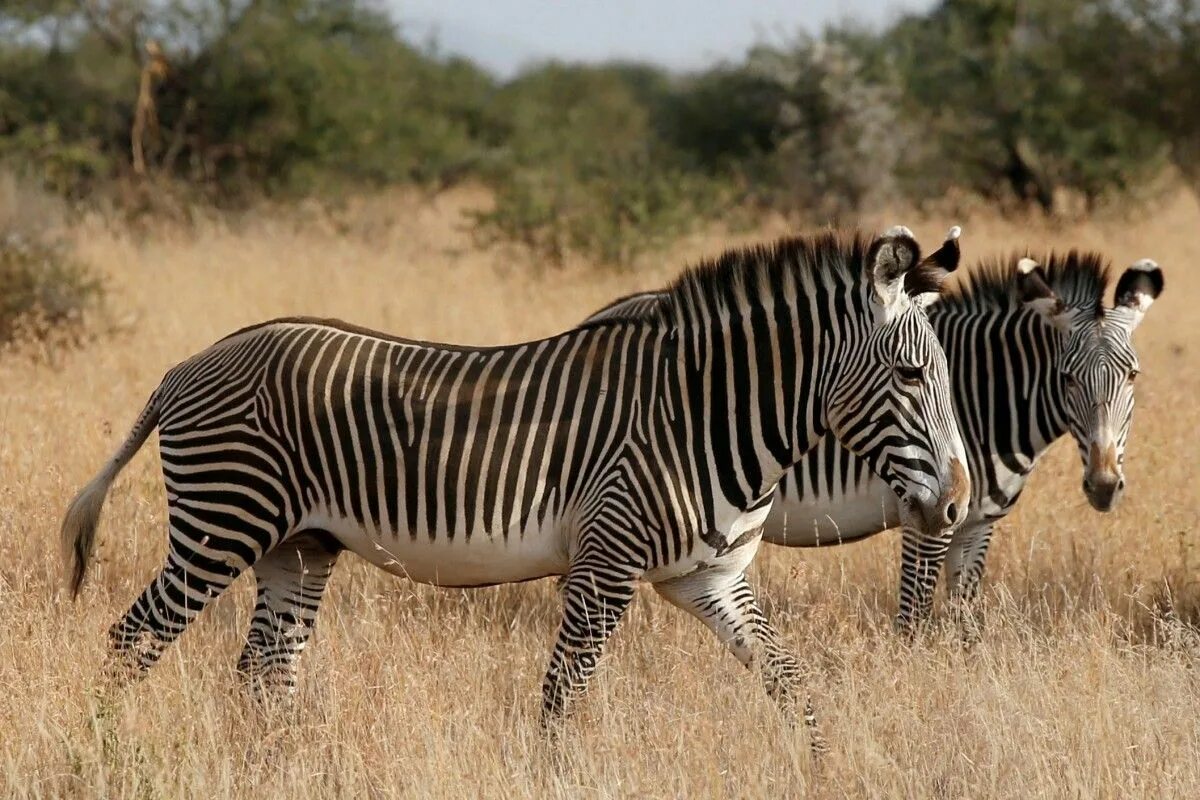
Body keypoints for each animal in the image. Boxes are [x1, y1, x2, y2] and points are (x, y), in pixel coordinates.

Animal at [60, 224, 969, 738]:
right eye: (911, 376)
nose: (960, 502)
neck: (701, 415)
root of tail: (186, 366)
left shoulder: (712, 579)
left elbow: (795, 689)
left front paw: (828, 762)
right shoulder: (604, 566)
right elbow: (561, 701)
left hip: (300, 544)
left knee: (264, 672)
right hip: (223, 522)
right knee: (131, 639)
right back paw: (97, 748)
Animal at [580, 250, 1161, 633]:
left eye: (1133, 376)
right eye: (1066, 379)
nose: (1104, 486)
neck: (984, 395)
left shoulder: (976, 524)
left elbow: (963, 621)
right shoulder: (924, 519)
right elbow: (914, 619)